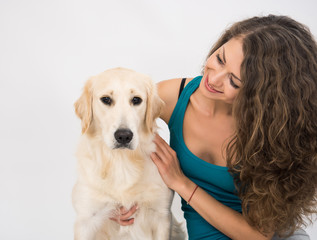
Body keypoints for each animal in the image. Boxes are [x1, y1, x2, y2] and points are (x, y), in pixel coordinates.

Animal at [72, 67, 184, 240]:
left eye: (136, 100)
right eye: (106, 99)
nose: (124, 136)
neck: (121, 161)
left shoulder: (161, 215)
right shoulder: (87, 219)